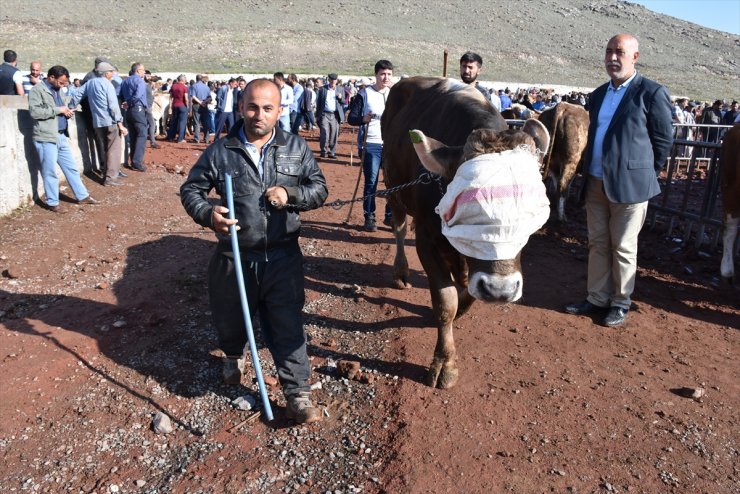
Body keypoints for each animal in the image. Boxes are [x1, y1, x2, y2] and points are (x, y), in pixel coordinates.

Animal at [382, 75, 548, 388]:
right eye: (471, 207)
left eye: (531, 213)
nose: (500, 290)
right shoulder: (426, 239)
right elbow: (445, 300)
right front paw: (444, 362)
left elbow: (467, 292)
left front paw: (463, 306)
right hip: (393, 186)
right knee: (399, 227)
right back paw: (400, 272)